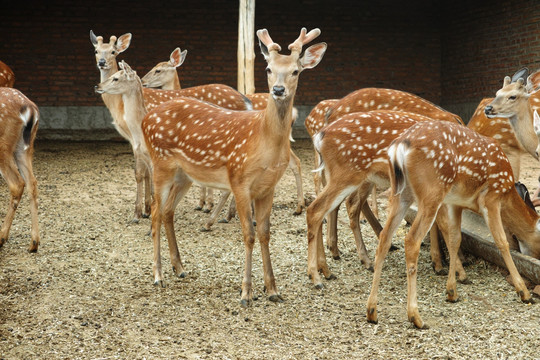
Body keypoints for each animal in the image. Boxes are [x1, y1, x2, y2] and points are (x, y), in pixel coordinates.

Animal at [143, 26, 326, 306]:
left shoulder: (268, 186)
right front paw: (246, 292)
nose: (278, 90)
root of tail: (145, 119)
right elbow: (248, 234)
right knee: (154, 212)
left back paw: (180, 268)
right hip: (160, 162)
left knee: (167, 212)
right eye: (268, 68)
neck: (264, 143)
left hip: (184, 174)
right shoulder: (239, 180)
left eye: (296, 70)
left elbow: (264, 233)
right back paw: (158, 275)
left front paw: (272, 289)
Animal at [364, 121, 536, 330]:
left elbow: (455, 239)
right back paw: (416, 317)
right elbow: (501, 242)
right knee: (411, 240)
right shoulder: (491, 198)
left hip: (402, 193)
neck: (507, 192)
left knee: (385, 237)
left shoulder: (455, 202)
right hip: (432, 191)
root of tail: (399, 147)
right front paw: (524, 293)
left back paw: (372, 312)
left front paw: (452, 291)